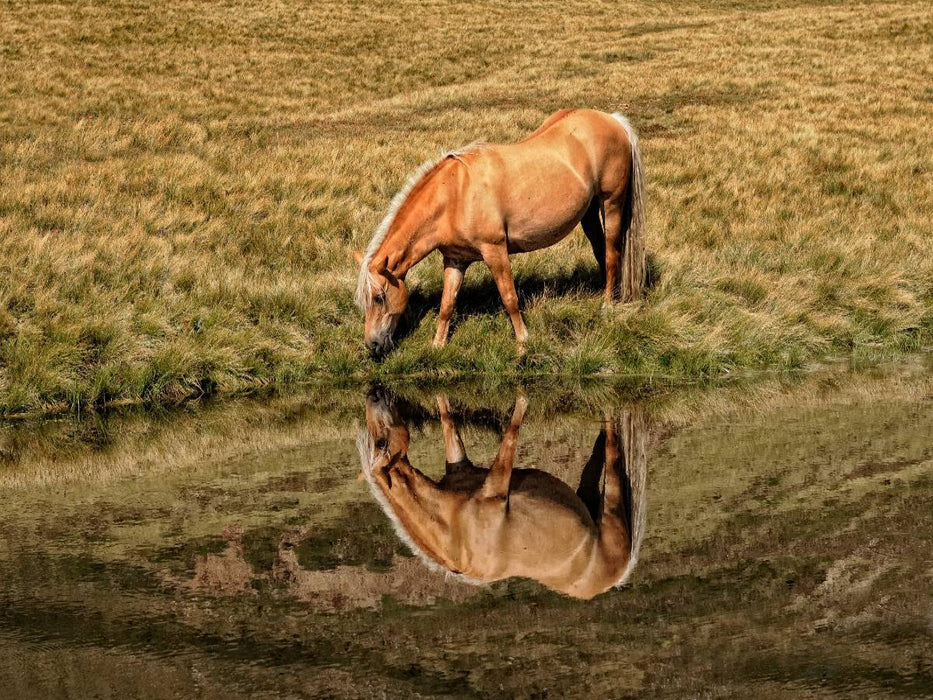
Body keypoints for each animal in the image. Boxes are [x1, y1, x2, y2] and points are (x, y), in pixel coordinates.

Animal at [353, 108, 647, 356]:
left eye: (379, 297)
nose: (372, 345)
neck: (455, 195)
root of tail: (613, 120)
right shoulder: (455, 260)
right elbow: (447, 305)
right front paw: (438, 345)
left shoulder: (495, 251)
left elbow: (509, 298)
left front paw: (523, 342)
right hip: (589, 213)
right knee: (600, 251)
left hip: (611, 203)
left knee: (611, 253)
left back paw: (607, 305)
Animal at [357, 390, 647, 599]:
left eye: (380, 442)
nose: (374, 395)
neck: (453, 529)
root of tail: (616, 577)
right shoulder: (472, 470)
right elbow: (454, 423)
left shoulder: (491, 481)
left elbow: (506, 432)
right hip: (592, 502)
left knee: (611, 452)